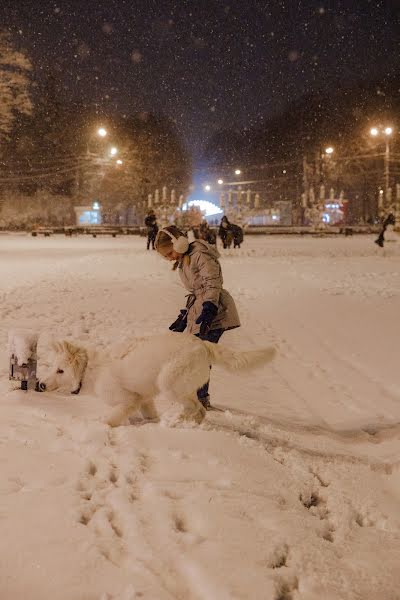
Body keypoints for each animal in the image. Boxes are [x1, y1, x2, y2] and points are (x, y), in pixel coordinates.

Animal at [39, 332, 276, 426]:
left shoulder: (129, 400)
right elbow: (149, 414)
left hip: (169, 383)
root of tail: (202, 344)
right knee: (199, 410)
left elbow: (111, 418)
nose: (41, 384)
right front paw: (151, 423)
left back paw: (178, 422)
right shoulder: (145, 399)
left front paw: (101, 425)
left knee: (198, 410)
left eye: (60, 371)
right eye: (52, 368)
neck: (90, 370)